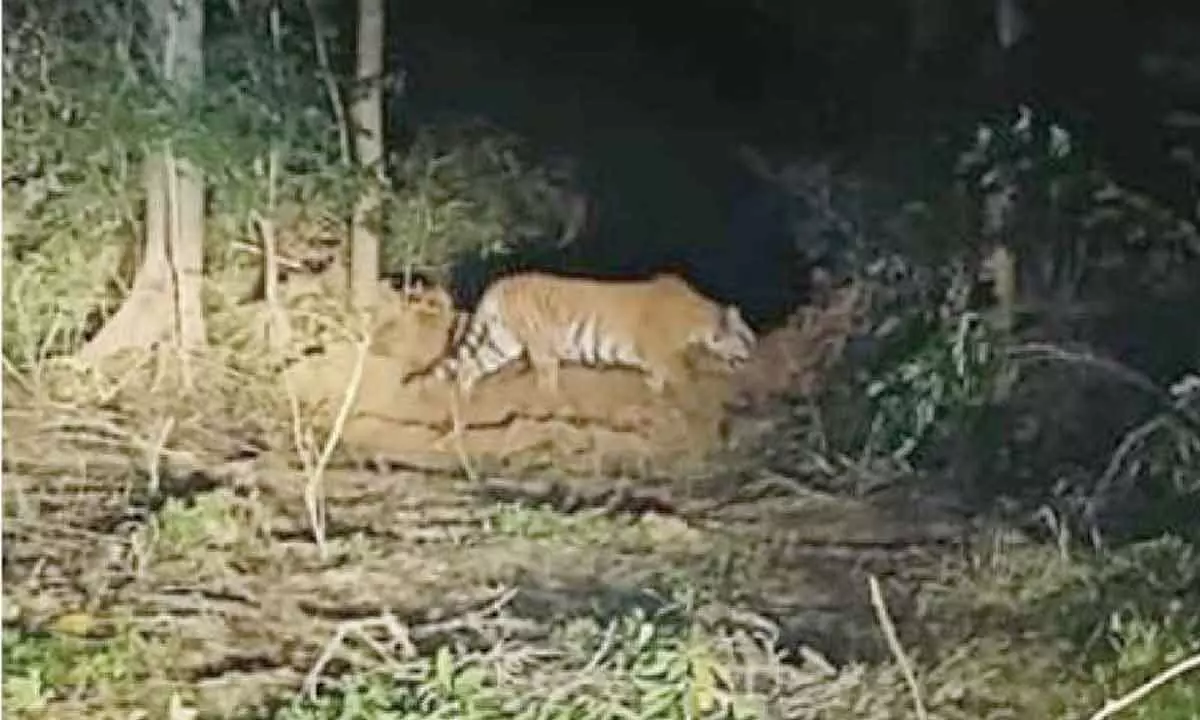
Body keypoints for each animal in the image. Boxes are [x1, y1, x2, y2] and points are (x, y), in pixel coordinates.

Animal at [427, 270, 753, 393]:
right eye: (747, 338)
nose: (753, 353)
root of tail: (500, 282)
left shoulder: (659, 360)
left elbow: (659, 381)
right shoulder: (663, 354)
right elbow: (686, 379)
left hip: (503, 341)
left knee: (470, 366)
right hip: (539, 345)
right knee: (546, 378)